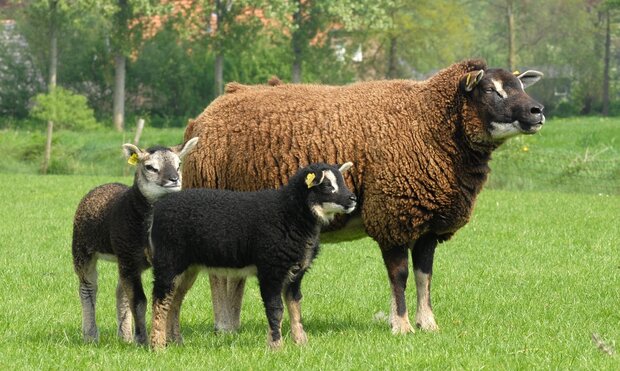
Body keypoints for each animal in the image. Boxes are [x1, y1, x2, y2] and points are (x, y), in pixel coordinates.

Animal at [72, 138, 199, 344]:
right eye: (150, 167)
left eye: (179, 164)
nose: (174, 179)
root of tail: (102, 186)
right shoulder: (129, 256)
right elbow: (139, 301)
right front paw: (143, 340)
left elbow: (173, 299)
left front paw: (174, 340)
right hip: (82, 248)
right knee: (88, 287)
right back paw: (91, 335)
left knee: (121, 292)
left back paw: (125, 336)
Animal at [147, 162, 356, 348]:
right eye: (327, 185)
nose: (353, 199)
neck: (289, 214)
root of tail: (159, 209)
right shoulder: (271, 269)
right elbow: (275, 309)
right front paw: (276, 346)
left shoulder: (295, 273)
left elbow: (295, 306)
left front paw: (301, 344)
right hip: (168, 260)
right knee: (160, 299)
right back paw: (157, 345)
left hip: (187, 267)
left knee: (174, 300)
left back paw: (174, 342)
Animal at [180, 59, 544, 336]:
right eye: (490, 90)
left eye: (519, 84)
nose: (537, 111)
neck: (429, 124)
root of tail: (208, 112)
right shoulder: (393, 213)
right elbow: (400, 275)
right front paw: (402, 326)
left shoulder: (427, 223)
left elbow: (425, 276)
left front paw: (428, 325)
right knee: (218, 275)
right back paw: (224, 326)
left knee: (231, 273)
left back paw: (232, 325)